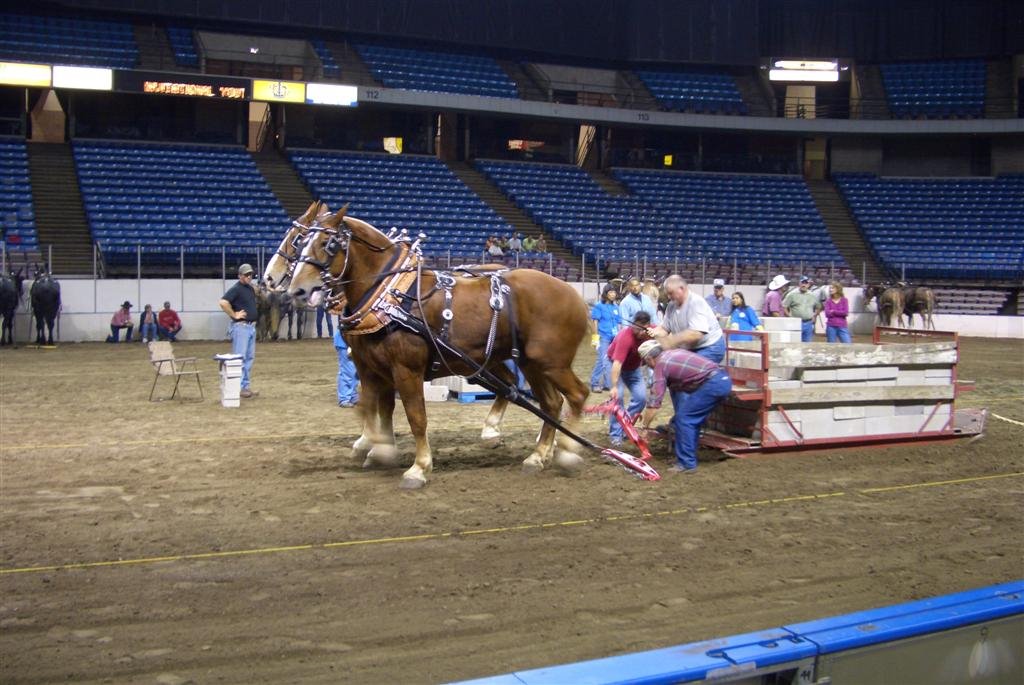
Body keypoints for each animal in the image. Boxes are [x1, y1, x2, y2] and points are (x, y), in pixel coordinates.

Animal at [288, 206, 593, 485]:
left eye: (327, 244)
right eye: (300, 242)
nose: (296, 289)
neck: (391, 295)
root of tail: (573, 294)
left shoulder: (405, 369)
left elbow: (415, 417)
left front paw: (419, 467)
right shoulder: (373, 368)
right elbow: (373, 408)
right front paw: (379, 449)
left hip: (551, 362)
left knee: (576, 395)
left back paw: (566, 452)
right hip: (529, 362)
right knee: (550, 402)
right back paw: (536, 454)